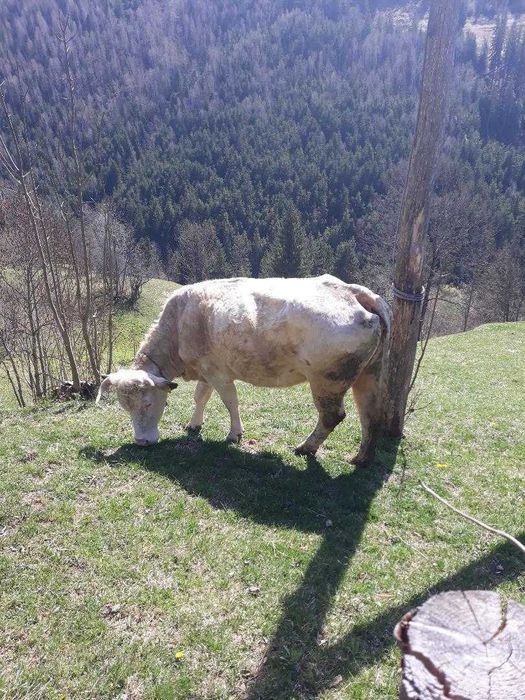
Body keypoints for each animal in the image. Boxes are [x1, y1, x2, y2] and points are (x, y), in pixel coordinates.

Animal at [97, 275, 391, 466]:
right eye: (125, 407)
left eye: (148, 403)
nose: (141, 442)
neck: (179, 325)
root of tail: (353, 291)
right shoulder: (206, 369)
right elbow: (200, 397)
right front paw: (194, 424)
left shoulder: (218, 372)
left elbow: (230, 402)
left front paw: (234, 434)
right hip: (369, 374)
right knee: (368, 414)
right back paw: (361, 458)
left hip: (327, 380)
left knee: (333, 416)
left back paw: (305, 448)